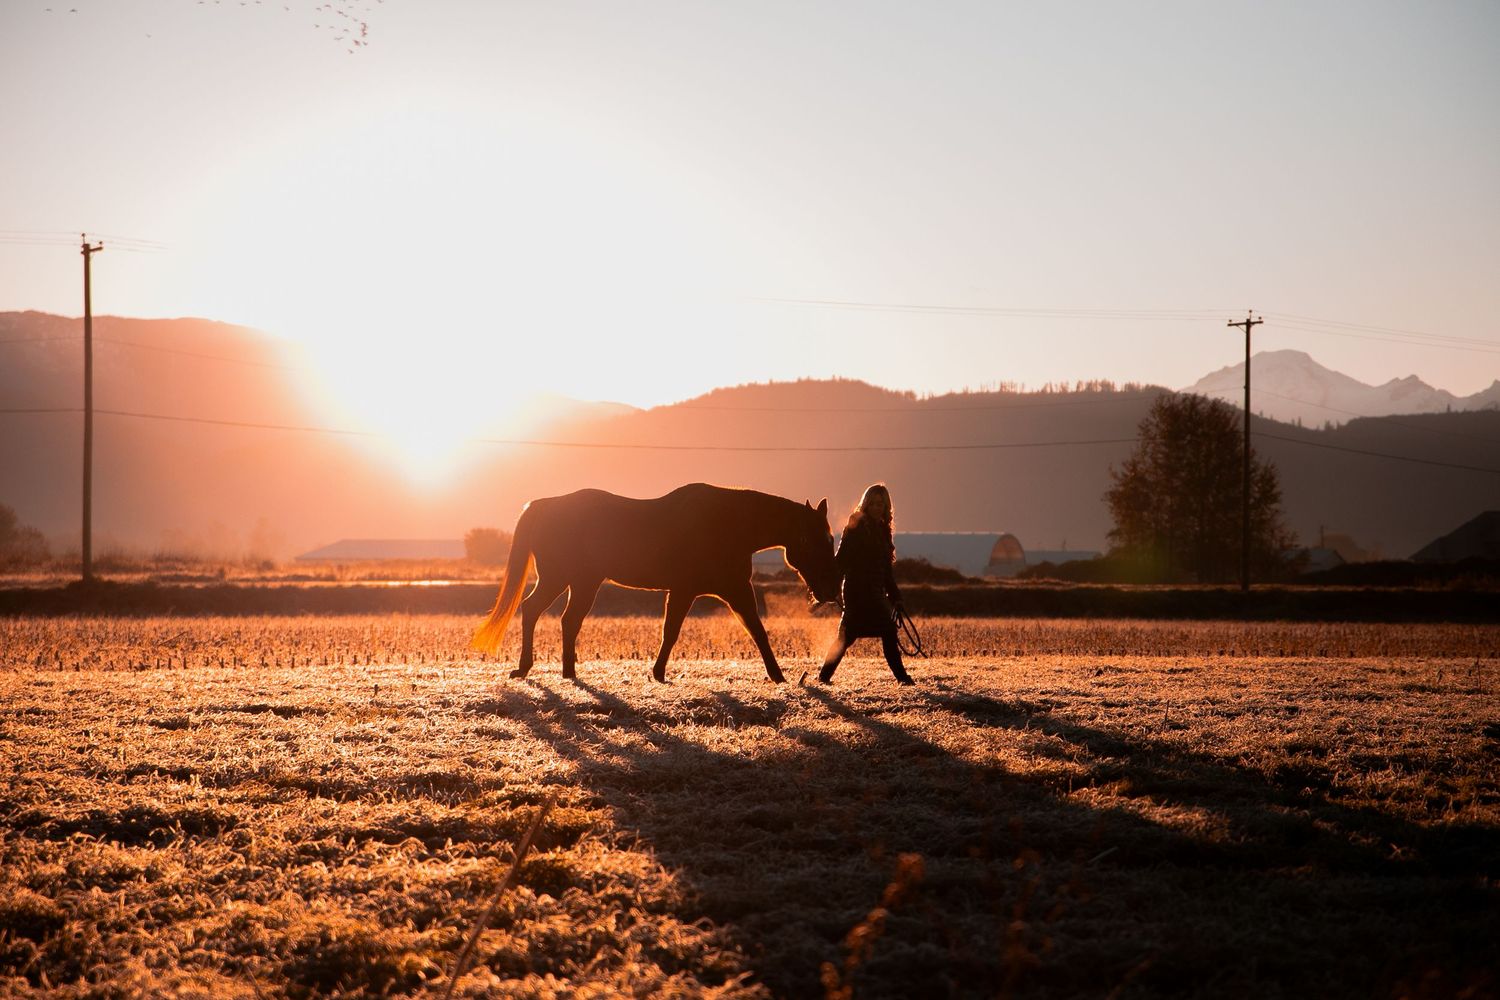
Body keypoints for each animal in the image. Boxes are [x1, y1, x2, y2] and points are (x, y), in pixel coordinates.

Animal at [470, 484, 842, 682]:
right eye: (817, 541)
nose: (827, 592)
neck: (728, 525)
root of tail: (542, 506)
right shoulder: (698, 590)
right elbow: (675, 631)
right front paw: (660, 672)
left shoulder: (728, 590)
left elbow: (754, 631)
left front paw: (778, 676)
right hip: (560, 578)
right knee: (533, 611)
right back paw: (526, 668)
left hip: (582, 582)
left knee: (567, 620)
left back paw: (568, 671)